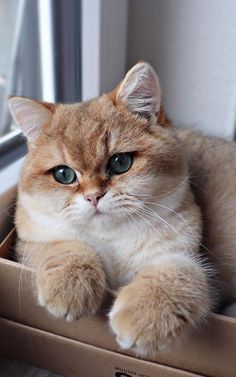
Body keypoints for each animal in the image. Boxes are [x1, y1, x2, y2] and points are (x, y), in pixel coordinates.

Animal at [7, 61, 234, 356]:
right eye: (63, 174)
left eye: (120, 162)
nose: (93, 197)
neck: (112, 239)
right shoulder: (29, 244)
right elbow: (63, 246)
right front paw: (70, 284)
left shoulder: (189, 257)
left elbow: (177, 270)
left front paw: (144, 316)